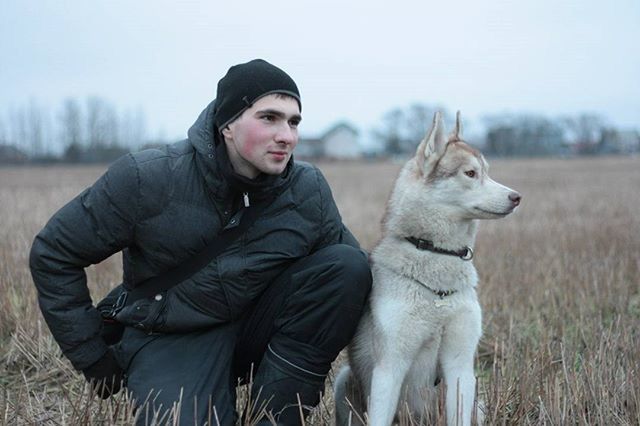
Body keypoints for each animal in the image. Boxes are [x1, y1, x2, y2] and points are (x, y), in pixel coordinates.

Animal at [336, 111, 520, 424]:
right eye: (470, 173)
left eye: (487, 171)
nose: (516, 197)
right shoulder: (389, 368)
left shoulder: (461, 366)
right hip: (344, 380)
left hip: (478, 403)